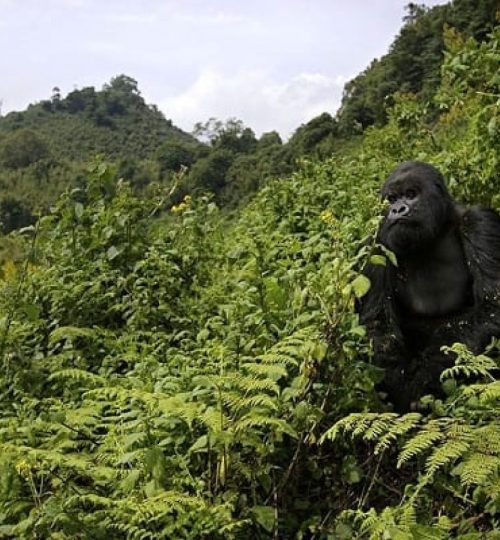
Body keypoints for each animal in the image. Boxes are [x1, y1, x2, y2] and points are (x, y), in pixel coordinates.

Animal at [360, 160, 500, 410]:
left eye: (411, 194)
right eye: (392, 199)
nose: (397, 210)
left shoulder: (480, 222)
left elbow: (491, 307)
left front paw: (423, 383)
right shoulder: (377, 243)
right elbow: (377, 324)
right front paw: (403, 389)